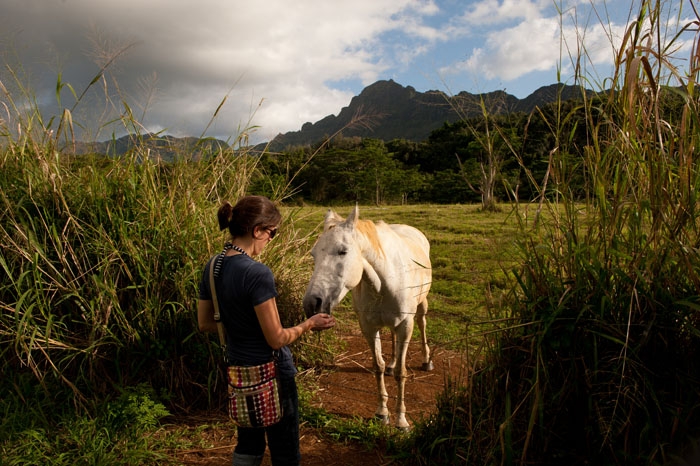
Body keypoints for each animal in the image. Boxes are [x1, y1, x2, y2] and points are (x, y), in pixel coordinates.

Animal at [302, 206, 432, 428]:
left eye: (343, 251)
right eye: (313, 255)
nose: (312, 303)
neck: (385, 282)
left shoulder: (405, 325)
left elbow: (402, 373)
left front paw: (401, 420)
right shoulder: (369, 327)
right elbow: (377, 366)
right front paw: (382, 412)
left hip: (421, 304)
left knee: (422, 324)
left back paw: (426, 360)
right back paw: (392, 363)